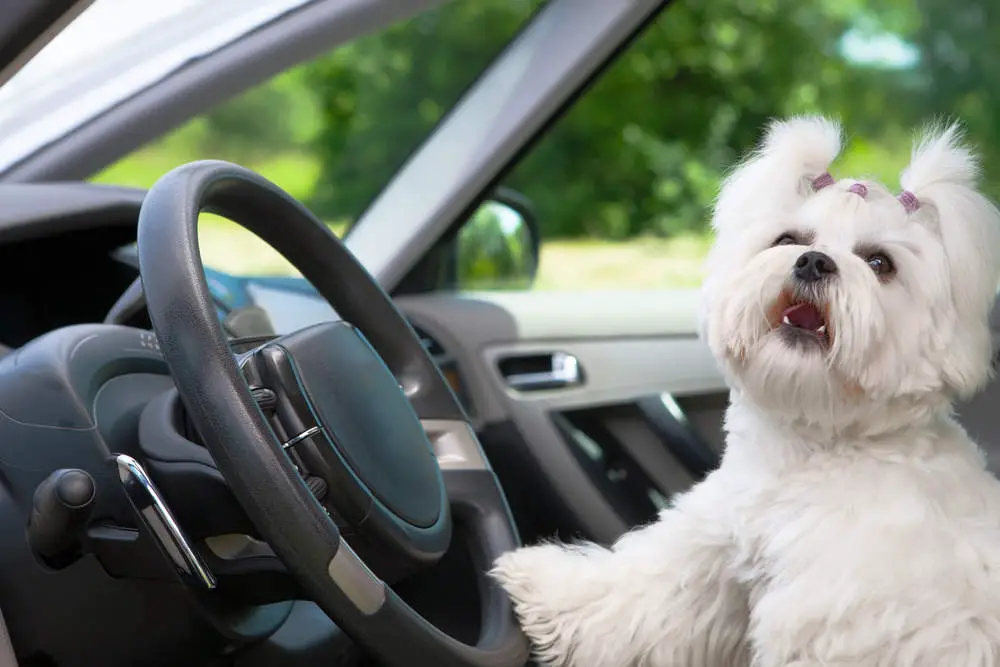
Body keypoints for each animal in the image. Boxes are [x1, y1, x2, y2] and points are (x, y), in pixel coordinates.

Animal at [490, 116, 1000, 667]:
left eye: (880, 263)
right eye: (789, 239)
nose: (814, 262)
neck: (819, 445)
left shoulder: (840, 622)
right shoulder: (717, 540)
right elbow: (645, 584)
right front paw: (546, 585)